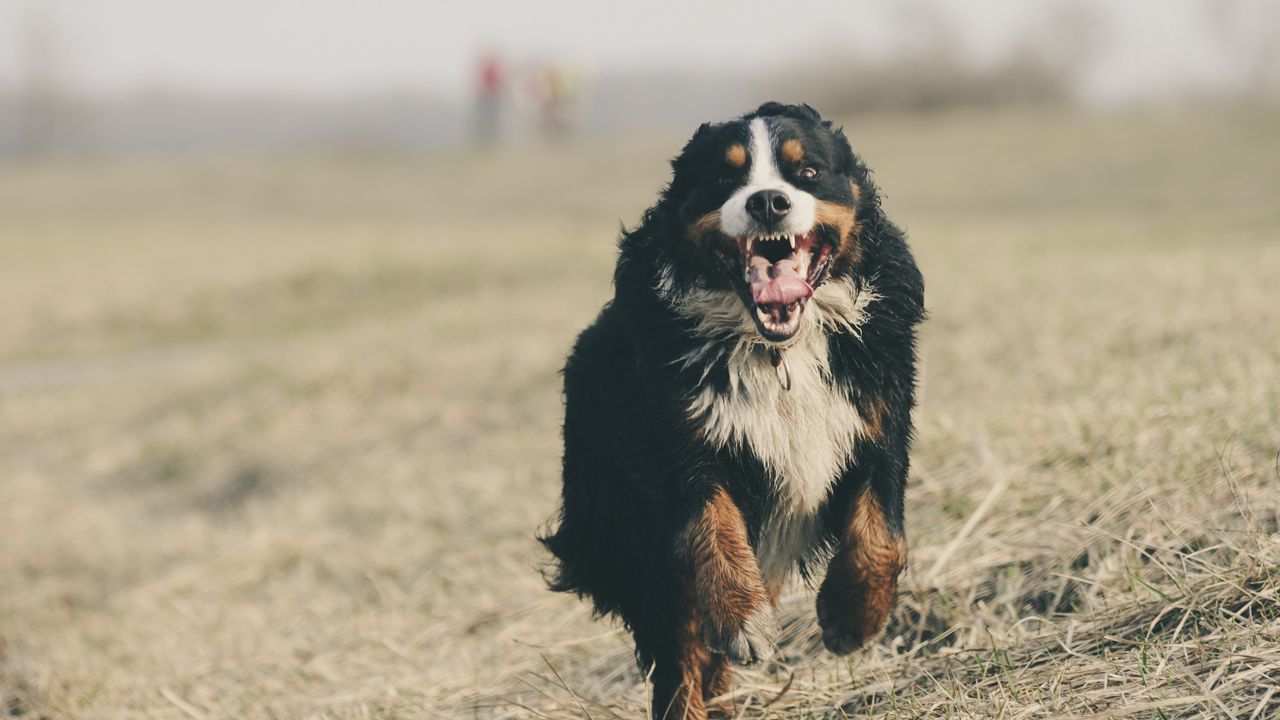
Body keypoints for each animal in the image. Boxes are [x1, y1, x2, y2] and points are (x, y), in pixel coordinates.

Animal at [537, 102, 921, 717]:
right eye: (724, 177)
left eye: (807, 171)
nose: (768, 201)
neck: (778, 352)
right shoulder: (682, 441)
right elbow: (712, 527)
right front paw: (743, 619)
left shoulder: (878, 420)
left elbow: (881, 535)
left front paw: (850, 617)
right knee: (680, 655)